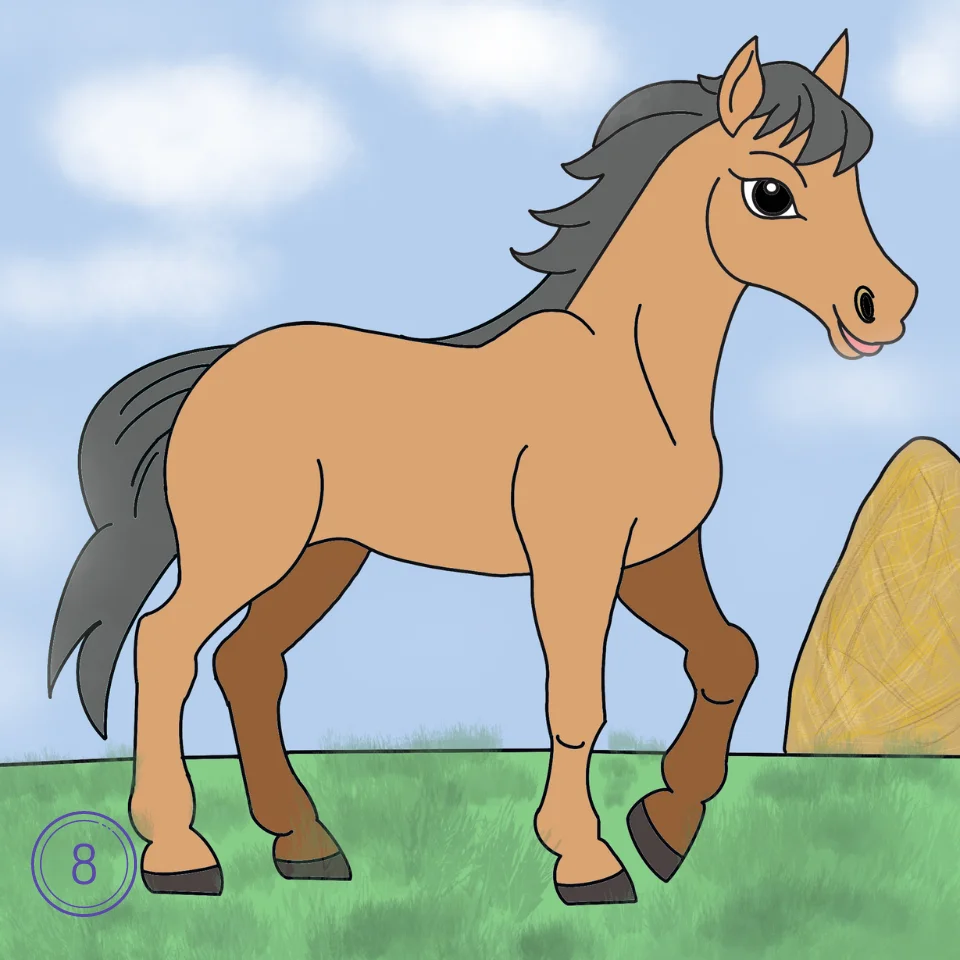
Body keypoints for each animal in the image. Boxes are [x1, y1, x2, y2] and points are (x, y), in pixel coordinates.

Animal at [48, 32, 917, 905]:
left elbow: (730, 656)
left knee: (247, 664)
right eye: (771, 193)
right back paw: (180, 855)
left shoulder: (655, 558)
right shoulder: (575, 561)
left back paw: (304, 845)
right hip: (246, 552)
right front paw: (587, 860)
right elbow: (578, 705)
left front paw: (665, 826)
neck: (630, 377)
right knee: (166, 646)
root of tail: (218, 369)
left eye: (855, 181)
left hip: (325, 555)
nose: (886, 305)